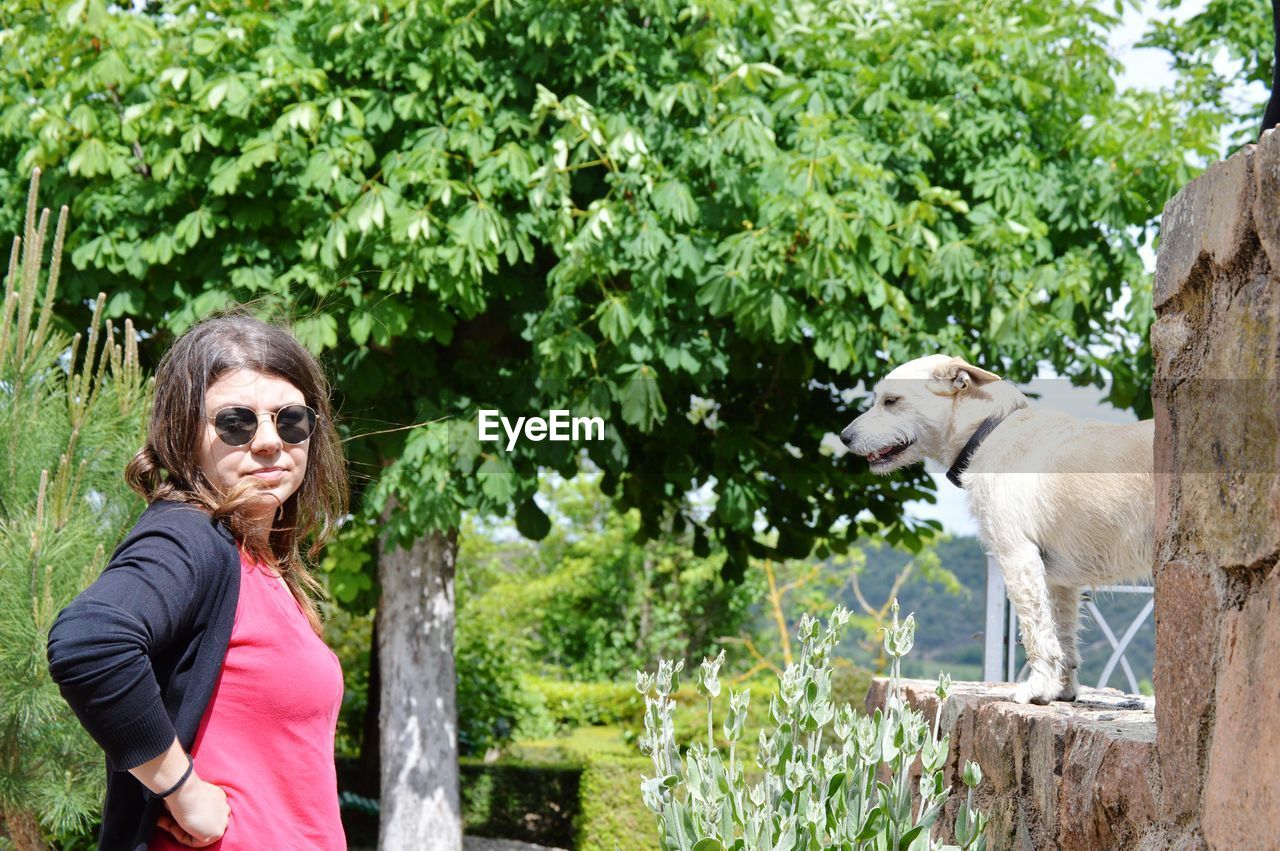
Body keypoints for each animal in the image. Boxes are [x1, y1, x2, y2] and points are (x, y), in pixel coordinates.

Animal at [839, 353, 1162, 701]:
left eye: (891, 401)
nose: (844, 437)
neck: (987, 432)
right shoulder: (1060, 579)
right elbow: (1062, 635)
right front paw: (1060, 690)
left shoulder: (1017, 556)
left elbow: (1037, 633)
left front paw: (1036, 689)